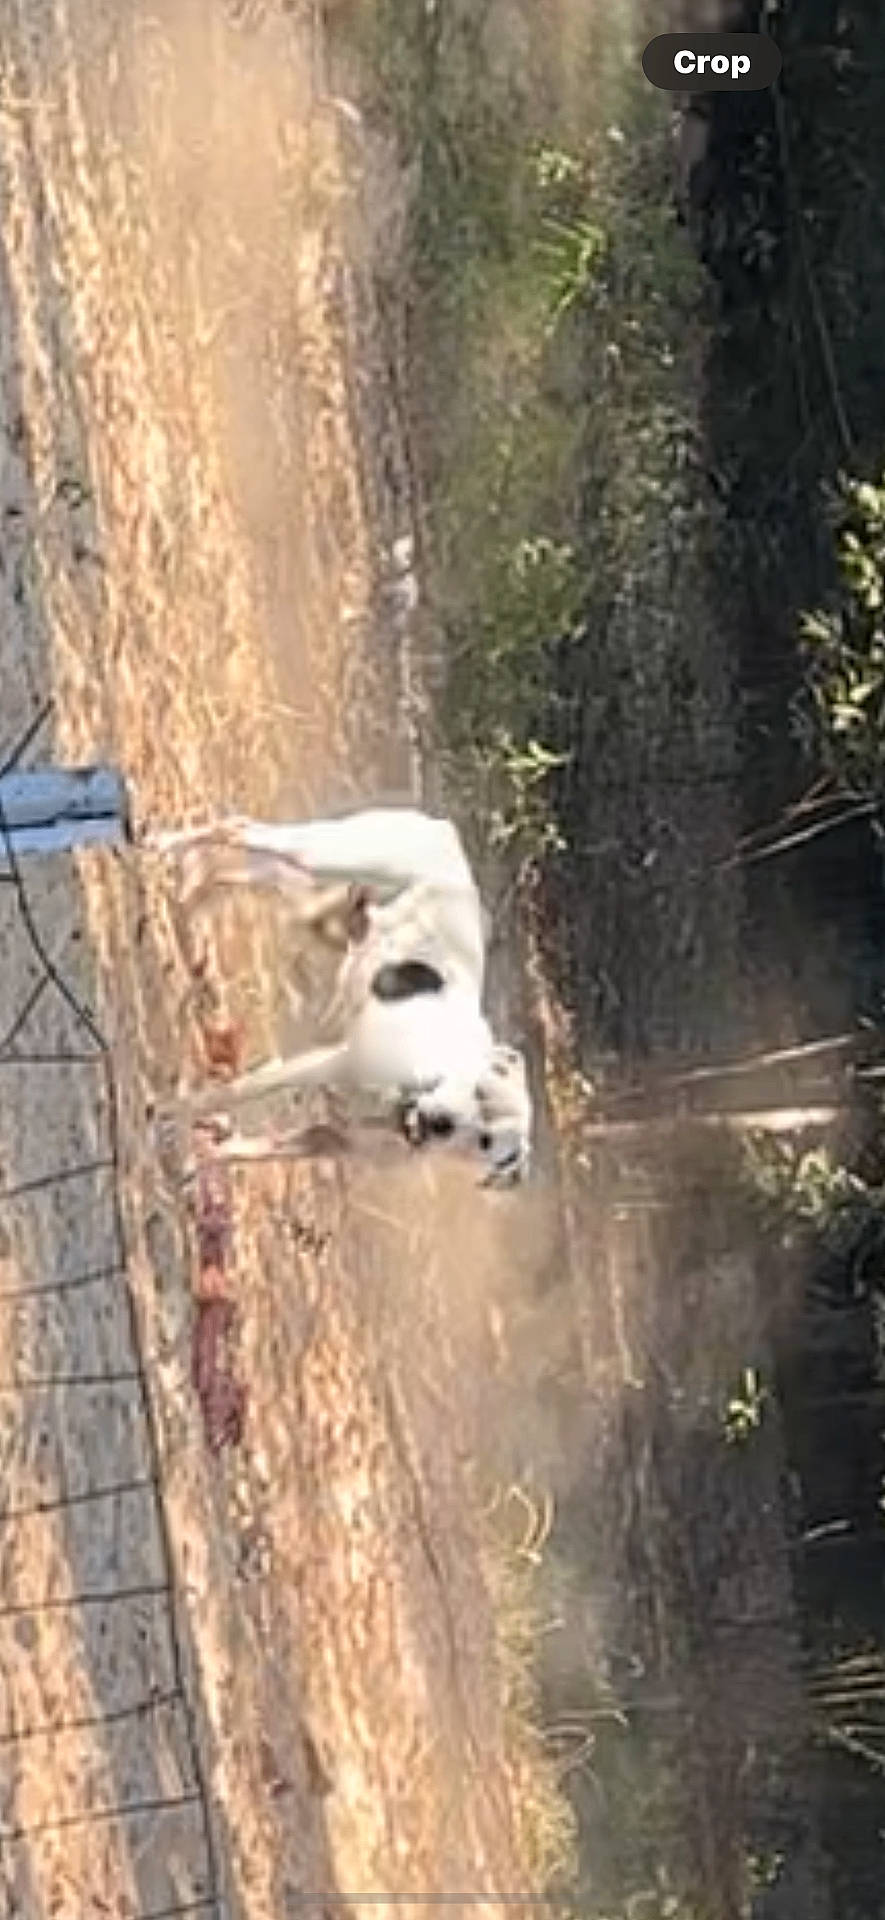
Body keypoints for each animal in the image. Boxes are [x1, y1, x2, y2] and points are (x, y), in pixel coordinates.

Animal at [146, 806, 533, 1188]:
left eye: (486, 1142)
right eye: (478, 1090)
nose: (440, 1123)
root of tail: (444, 831)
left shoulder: (331, 1139)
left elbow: (252, 1149)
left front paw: (198, 1159)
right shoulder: (322, 1065)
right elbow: (228, 1094)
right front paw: (173, 1114)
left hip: (305, 882)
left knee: (234, 860)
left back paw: (188, 894)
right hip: (316, 857)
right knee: (240, 829)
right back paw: (165, 847)